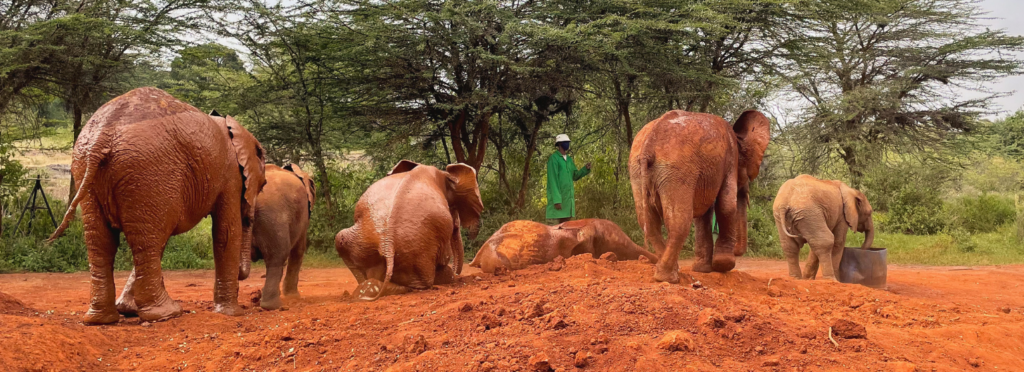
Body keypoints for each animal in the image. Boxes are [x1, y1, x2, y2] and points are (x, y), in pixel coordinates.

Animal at [48, 86, 266, 323]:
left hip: (89, 168)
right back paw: (167, 314)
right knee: (149, 241)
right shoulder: (230, 176)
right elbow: (225, 233)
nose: (244, 275)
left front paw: (128, 309)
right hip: (148, 171)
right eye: (263, 184)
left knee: (105, 241)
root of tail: (101, 138)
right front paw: (232, 314)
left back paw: (102, 319)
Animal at [630, 110, 770, 282]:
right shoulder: (730, 159)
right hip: (676, 170)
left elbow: (703, 214)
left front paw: (703, 270)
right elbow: (727, 205)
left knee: (648, 222)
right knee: (679, 220)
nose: (737, 252)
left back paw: (667, 273)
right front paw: (723, 265)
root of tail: (648, 146)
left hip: (638, 171)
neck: (737, 136)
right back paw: (669, 278)